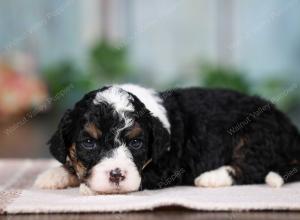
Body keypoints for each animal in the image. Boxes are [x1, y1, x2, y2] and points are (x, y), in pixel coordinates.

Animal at [35, 84, 300, 194]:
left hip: (256, 136)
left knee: (253, 168)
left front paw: (86, 187)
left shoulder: (166, 169)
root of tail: (291, 130)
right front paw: (54, 175)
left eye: (136, 143)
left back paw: (211, 178)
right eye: (89, 142)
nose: (116, 175)